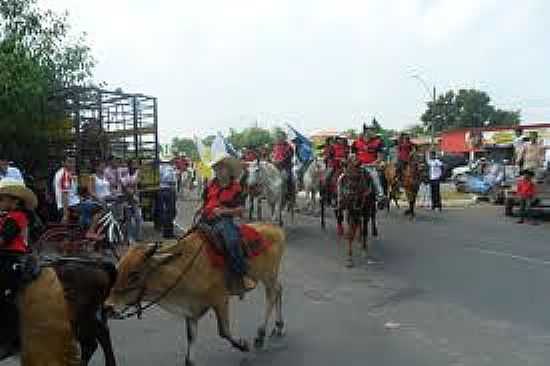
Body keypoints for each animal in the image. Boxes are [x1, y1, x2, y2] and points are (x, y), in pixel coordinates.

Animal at [108, 223, 288, 366]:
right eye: (119, 268)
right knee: (279, 290)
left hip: (268, 275)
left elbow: (224, 331)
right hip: (269, 276)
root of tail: (274, 227)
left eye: (134, 274)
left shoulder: (220, 300)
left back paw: (261, 335)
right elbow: (191, 340)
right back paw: (278, 326)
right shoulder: (191, 310)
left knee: (272, 295)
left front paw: (243, 345)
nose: (109, 307)